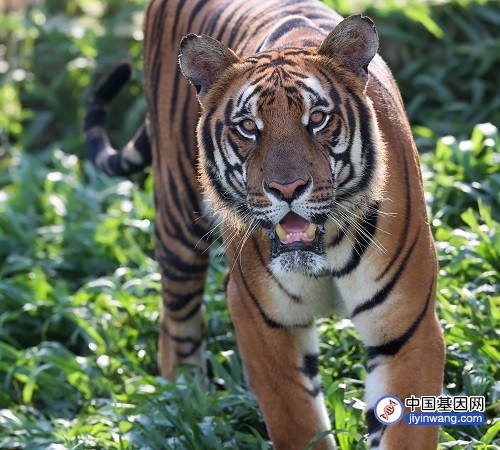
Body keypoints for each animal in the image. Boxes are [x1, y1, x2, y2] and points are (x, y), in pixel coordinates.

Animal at [83, 0, 446, 448]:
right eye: (248, 127)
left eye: (318, 119)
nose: (286, 188)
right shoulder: (261, 319)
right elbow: (298, 423)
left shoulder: (407, 329)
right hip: (177, 216)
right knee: (175, 325)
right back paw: (185, 405)